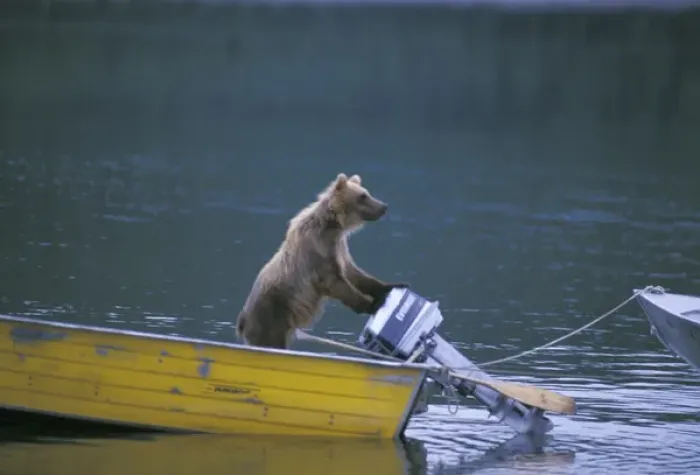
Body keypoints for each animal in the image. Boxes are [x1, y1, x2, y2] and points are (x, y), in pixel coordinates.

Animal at [235, 172, 408, 350]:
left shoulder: (339, 248)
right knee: (270, 342)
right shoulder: (319, 252)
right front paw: (372, 304)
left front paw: (391, 286)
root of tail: (242, 320)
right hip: (272, 316)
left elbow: (354, 273)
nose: (384, 206)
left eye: (367, 192)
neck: (332, 226)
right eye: (362, 196)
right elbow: (334, 281)